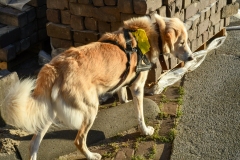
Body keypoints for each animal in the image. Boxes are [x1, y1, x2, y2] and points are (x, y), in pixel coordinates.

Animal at [0, 14, 191, 160]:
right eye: (181, 43)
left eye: (187, 41)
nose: (190, 58)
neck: (150, 32)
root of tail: (54, 66)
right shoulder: (137, 87)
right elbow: (140, 115)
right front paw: (145, 131)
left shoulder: (122, 84)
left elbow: (123, 98)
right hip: (90, 109)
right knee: (78, 141)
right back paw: (91, 156)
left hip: (49, 113)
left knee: (33, 144)